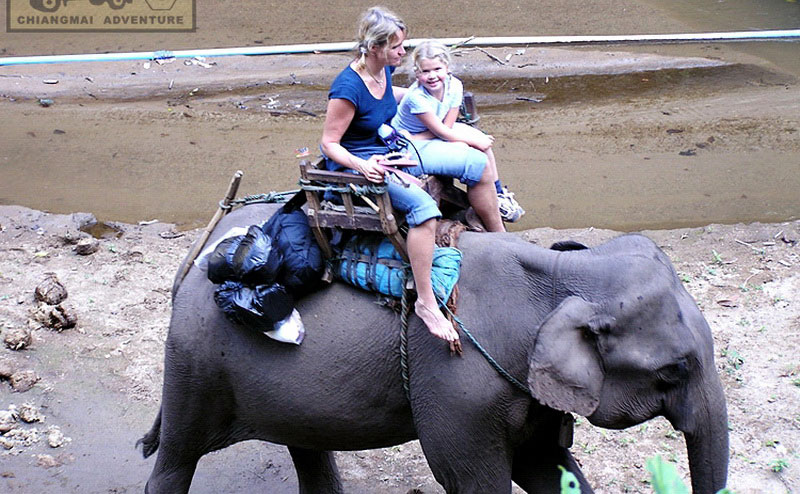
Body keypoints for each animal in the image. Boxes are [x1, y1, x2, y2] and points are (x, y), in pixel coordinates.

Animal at [141, 203, 728, 492]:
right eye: (674, 371)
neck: (563, 274)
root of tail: (195, 258)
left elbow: (547, 467)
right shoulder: (458, 387)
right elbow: (474, 480)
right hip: (194, 366)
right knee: (177, 457)